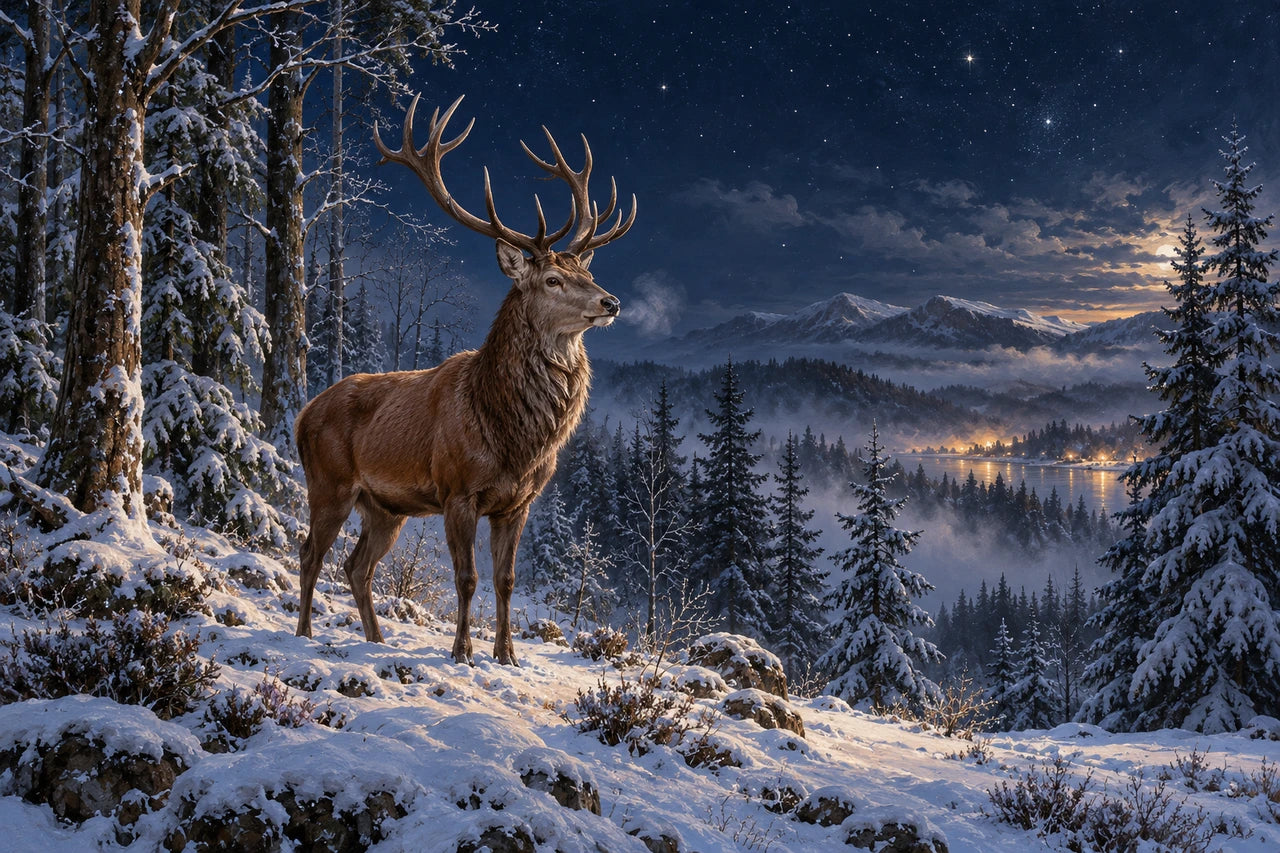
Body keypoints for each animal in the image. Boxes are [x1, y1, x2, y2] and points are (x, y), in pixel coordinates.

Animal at [293, 95, 635, 665]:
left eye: (586, 272)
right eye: (552, 279)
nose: (610, 301)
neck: (512, 435)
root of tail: (302, 414)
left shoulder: (517, 502)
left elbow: (506, 581)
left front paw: (508, 656)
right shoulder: (457, 490)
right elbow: (467, 578)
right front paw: (462, 653)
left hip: (384, 508)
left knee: (356, 566)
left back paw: (376, 640)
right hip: (329, 483)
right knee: (309, 554)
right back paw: (303, 634)